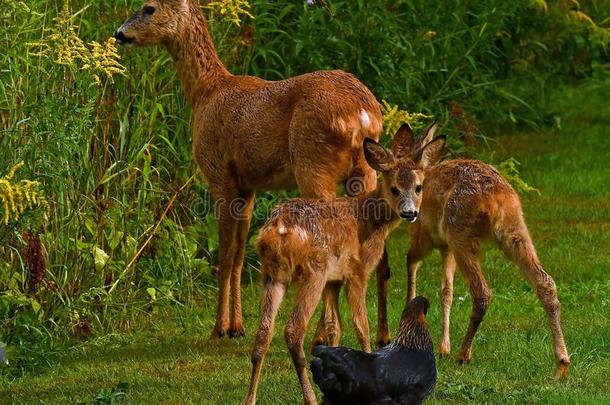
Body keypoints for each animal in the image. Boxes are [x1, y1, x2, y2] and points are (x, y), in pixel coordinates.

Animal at [113, 0, 390, 342]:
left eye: (148, 8)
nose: (119, 33)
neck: (206, 92)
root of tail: (363, 113)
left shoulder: (218, 173)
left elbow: (225, 252)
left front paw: (220, 328)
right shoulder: (248, 185)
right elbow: (239, 253)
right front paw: (237, 326)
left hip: (312, 161)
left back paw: (322, 336)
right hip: (364, 168)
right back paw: (381, 335)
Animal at [243, 128, 446, 402]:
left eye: (418, 187)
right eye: (394, 189)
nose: (410, 213)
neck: (370, 220)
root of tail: (278, 230)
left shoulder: (334, 280)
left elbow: (333, 326)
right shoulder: (357, 272)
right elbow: (361, 325)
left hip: (273, 274)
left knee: (264, 331)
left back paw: (250, 398)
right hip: (313, 271)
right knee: (293, 329)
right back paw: (310, 398)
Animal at [402, 129, 568, 376]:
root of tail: (494, 198)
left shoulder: (424, 234)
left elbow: (411, 262)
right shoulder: (444, 247)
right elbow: (446, 289)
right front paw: (442, 346)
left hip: (460, 233)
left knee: (482, 293)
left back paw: (463, 354)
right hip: (514, 228)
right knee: (545, 282)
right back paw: (561, 363)